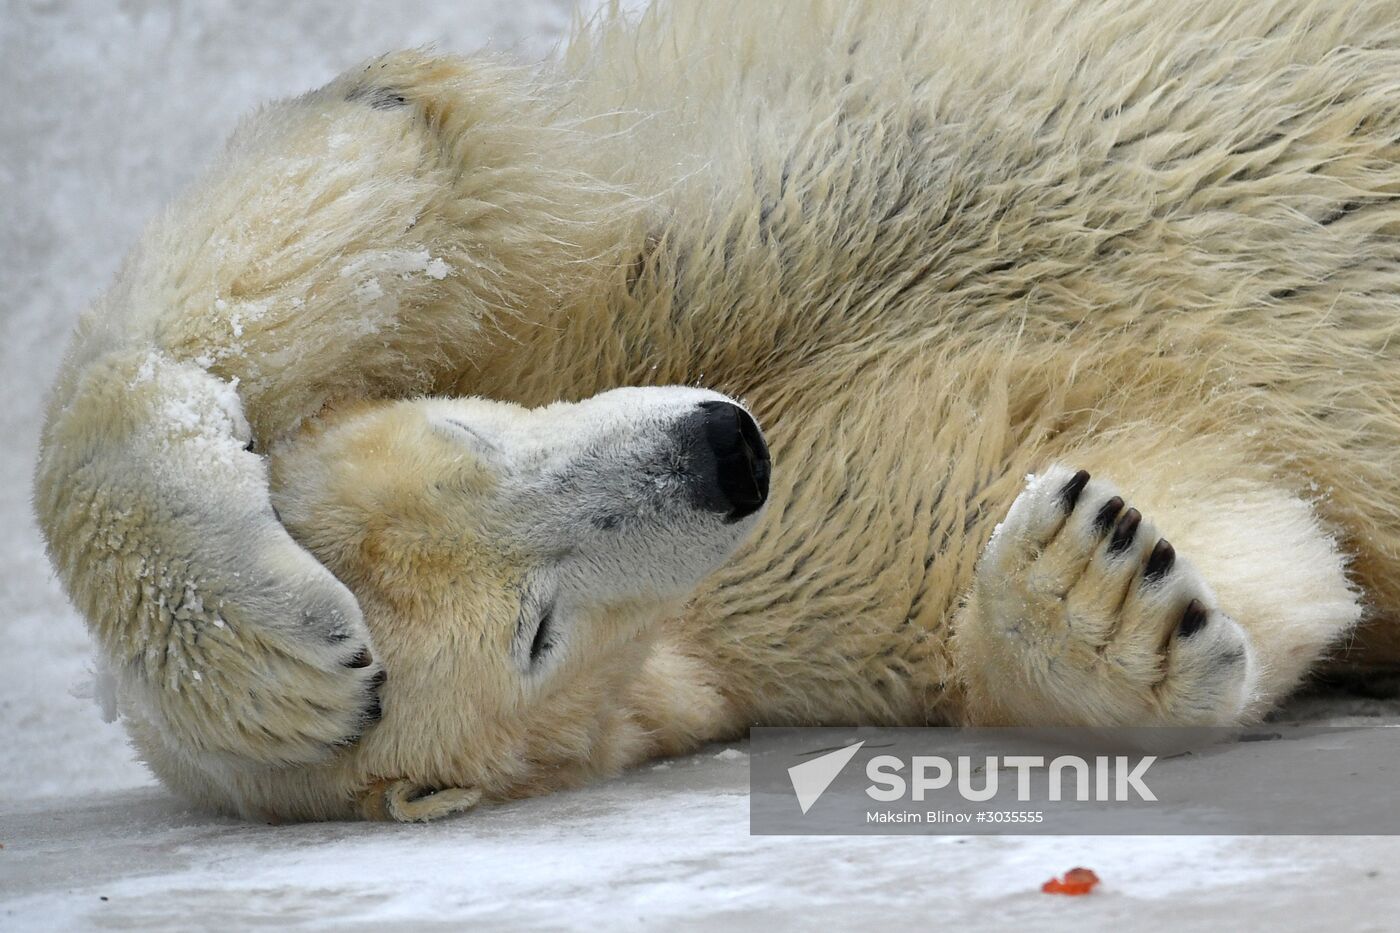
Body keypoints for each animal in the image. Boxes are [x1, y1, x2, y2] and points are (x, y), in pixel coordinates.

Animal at [33, 0, 1400, 820]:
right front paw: (1100, 579)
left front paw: (270, 649)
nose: (726, 451)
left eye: (468, 433)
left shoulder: (585, 268)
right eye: (535, 630)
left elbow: (404, 159)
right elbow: (1239, 530)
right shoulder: (798, 600)